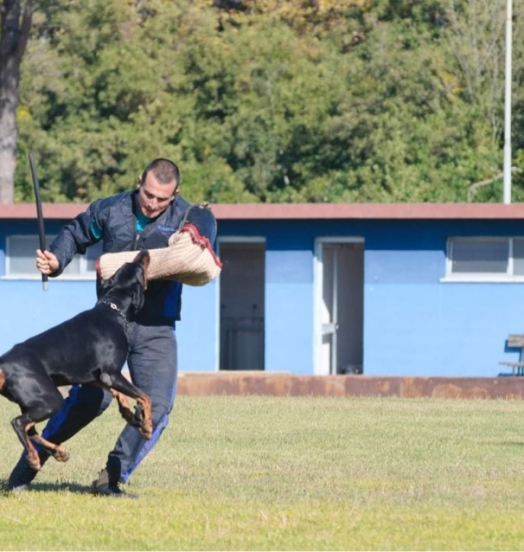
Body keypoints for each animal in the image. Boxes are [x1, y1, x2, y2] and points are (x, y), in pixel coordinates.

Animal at [0, 250, 154, 470]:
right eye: (140, 268)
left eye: (126, 264)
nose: (144, 252)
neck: (112, 310)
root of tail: (2, 365)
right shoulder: (110, 374)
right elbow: (145, 396)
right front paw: (147, 426)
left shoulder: (97, 377)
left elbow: (120, 392)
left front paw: (127, 411)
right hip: (50, 398)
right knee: (19, 423)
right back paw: (34, 458)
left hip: (33, 401)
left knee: (31, 430)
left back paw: (58, 452)